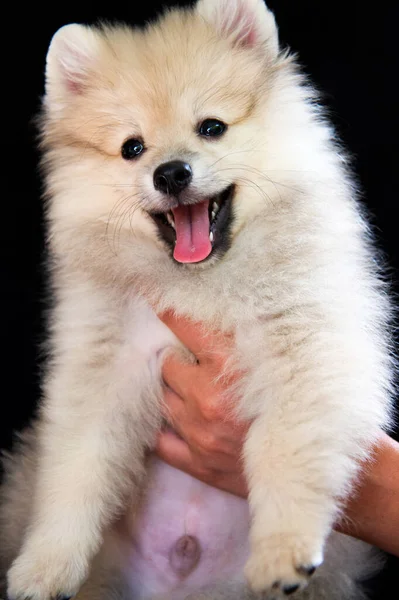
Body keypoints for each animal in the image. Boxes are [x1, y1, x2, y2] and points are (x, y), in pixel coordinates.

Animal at [0, 1, 394, 600]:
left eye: (211, 128)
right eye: (132, 148)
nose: (171, 173)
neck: (199, 282)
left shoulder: (305, 346)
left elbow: (284, 447)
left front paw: (283, 550)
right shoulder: (102, 368)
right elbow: (77, 470)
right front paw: (45, 566)